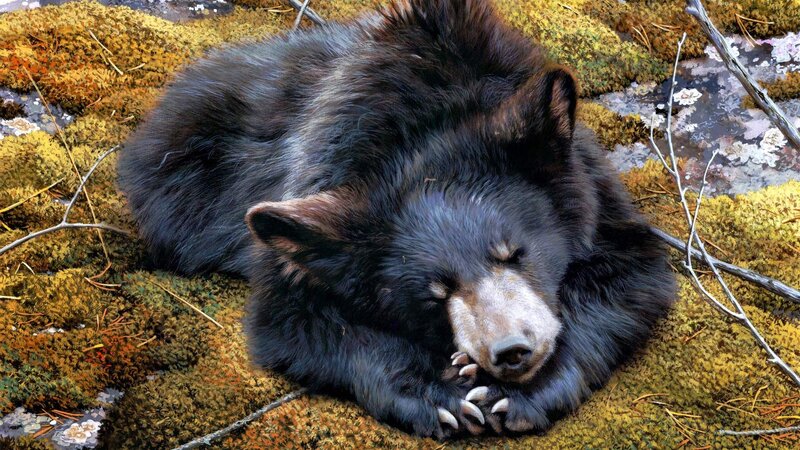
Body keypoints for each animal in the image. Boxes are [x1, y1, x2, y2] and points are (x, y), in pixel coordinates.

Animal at [117, 0, 676, 439]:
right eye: (435, 294)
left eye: (516, 253)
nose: (512, 351)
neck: (417, 136)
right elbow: (294, 322)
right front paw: (440, 395)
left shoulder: (595, 193)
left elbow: (630, 279)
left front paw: (522, 394)